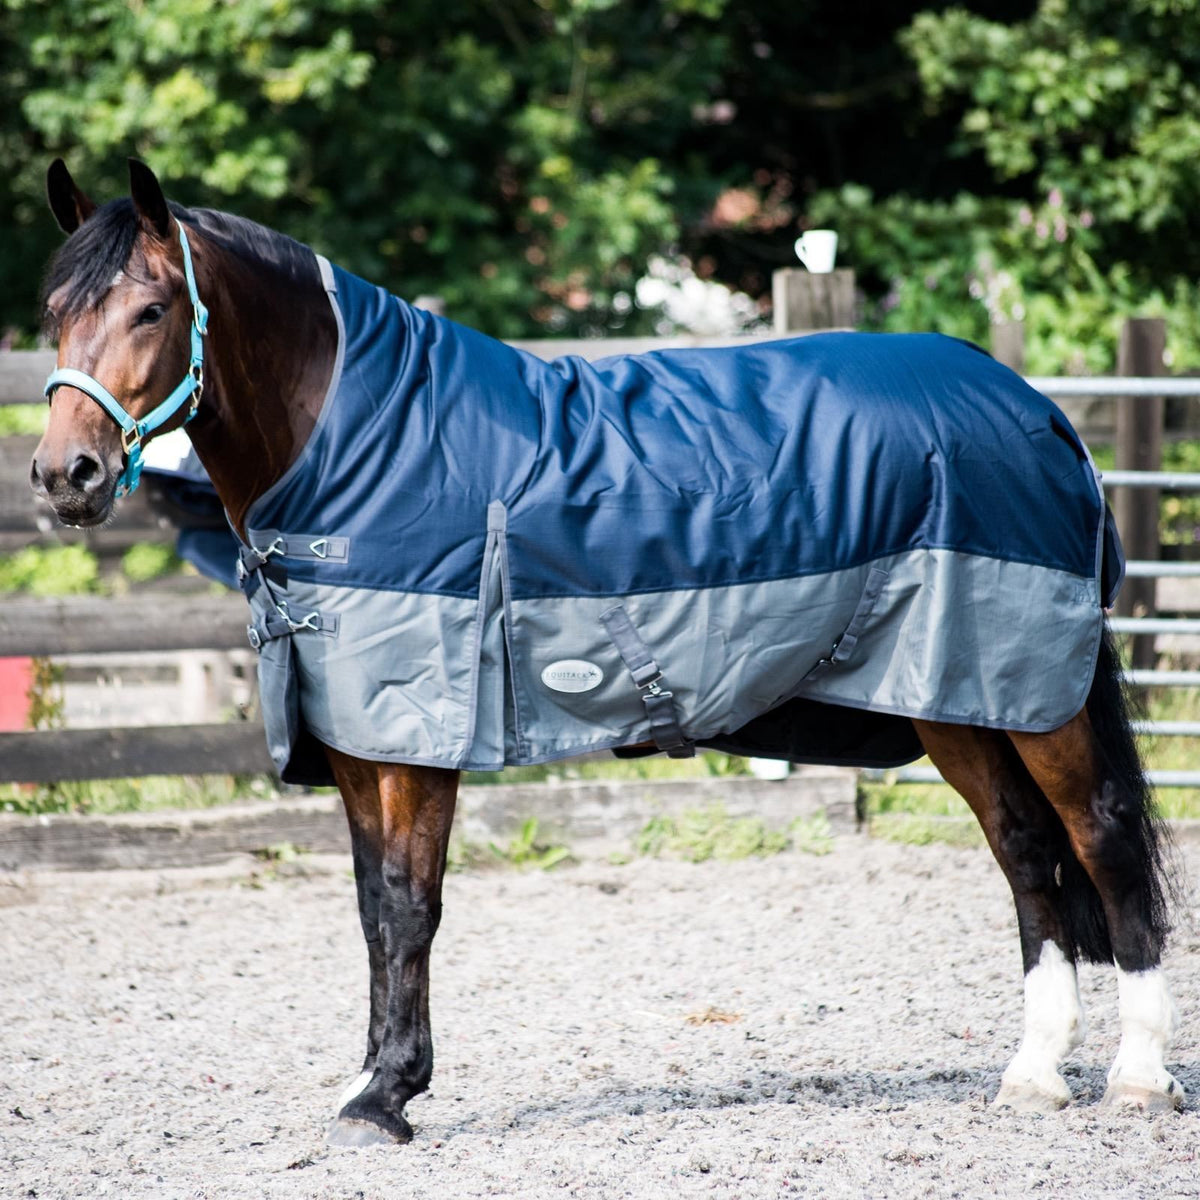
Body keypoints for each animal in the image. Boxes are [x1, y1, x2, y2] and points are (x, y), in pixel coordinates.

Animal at [30, 158, 1182, 1146]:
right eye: (54, 313)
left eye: (152, 309)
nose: (64, 475)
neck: (363, 443)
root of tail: (1037, 411)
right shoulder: (360, 739)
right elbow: (368, 910)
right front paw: (367, 1079)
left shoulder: (421, 741)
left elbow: (409, 906)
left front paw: (388, 1097)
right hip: (958, 700)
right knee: (1026, 855)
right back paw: (1033, 1075)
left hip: (1037, 697)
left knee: (1103, 840)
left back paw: (1135, 1077)